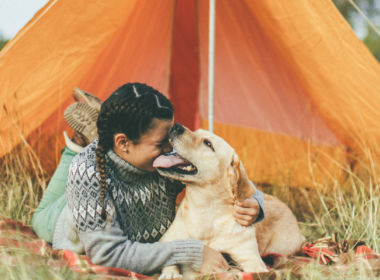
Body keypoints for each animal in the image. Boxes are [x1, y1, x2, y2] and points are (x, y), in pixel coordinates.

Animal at [153, 123, 304, 278]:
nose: (177, 126)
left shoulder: (250, 258)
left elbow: (258, 271)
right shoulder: (167, 240)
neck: (206, 210)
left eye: (208, 143)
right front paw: (171, 274)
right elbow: (171, 258)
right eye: (196, 131)